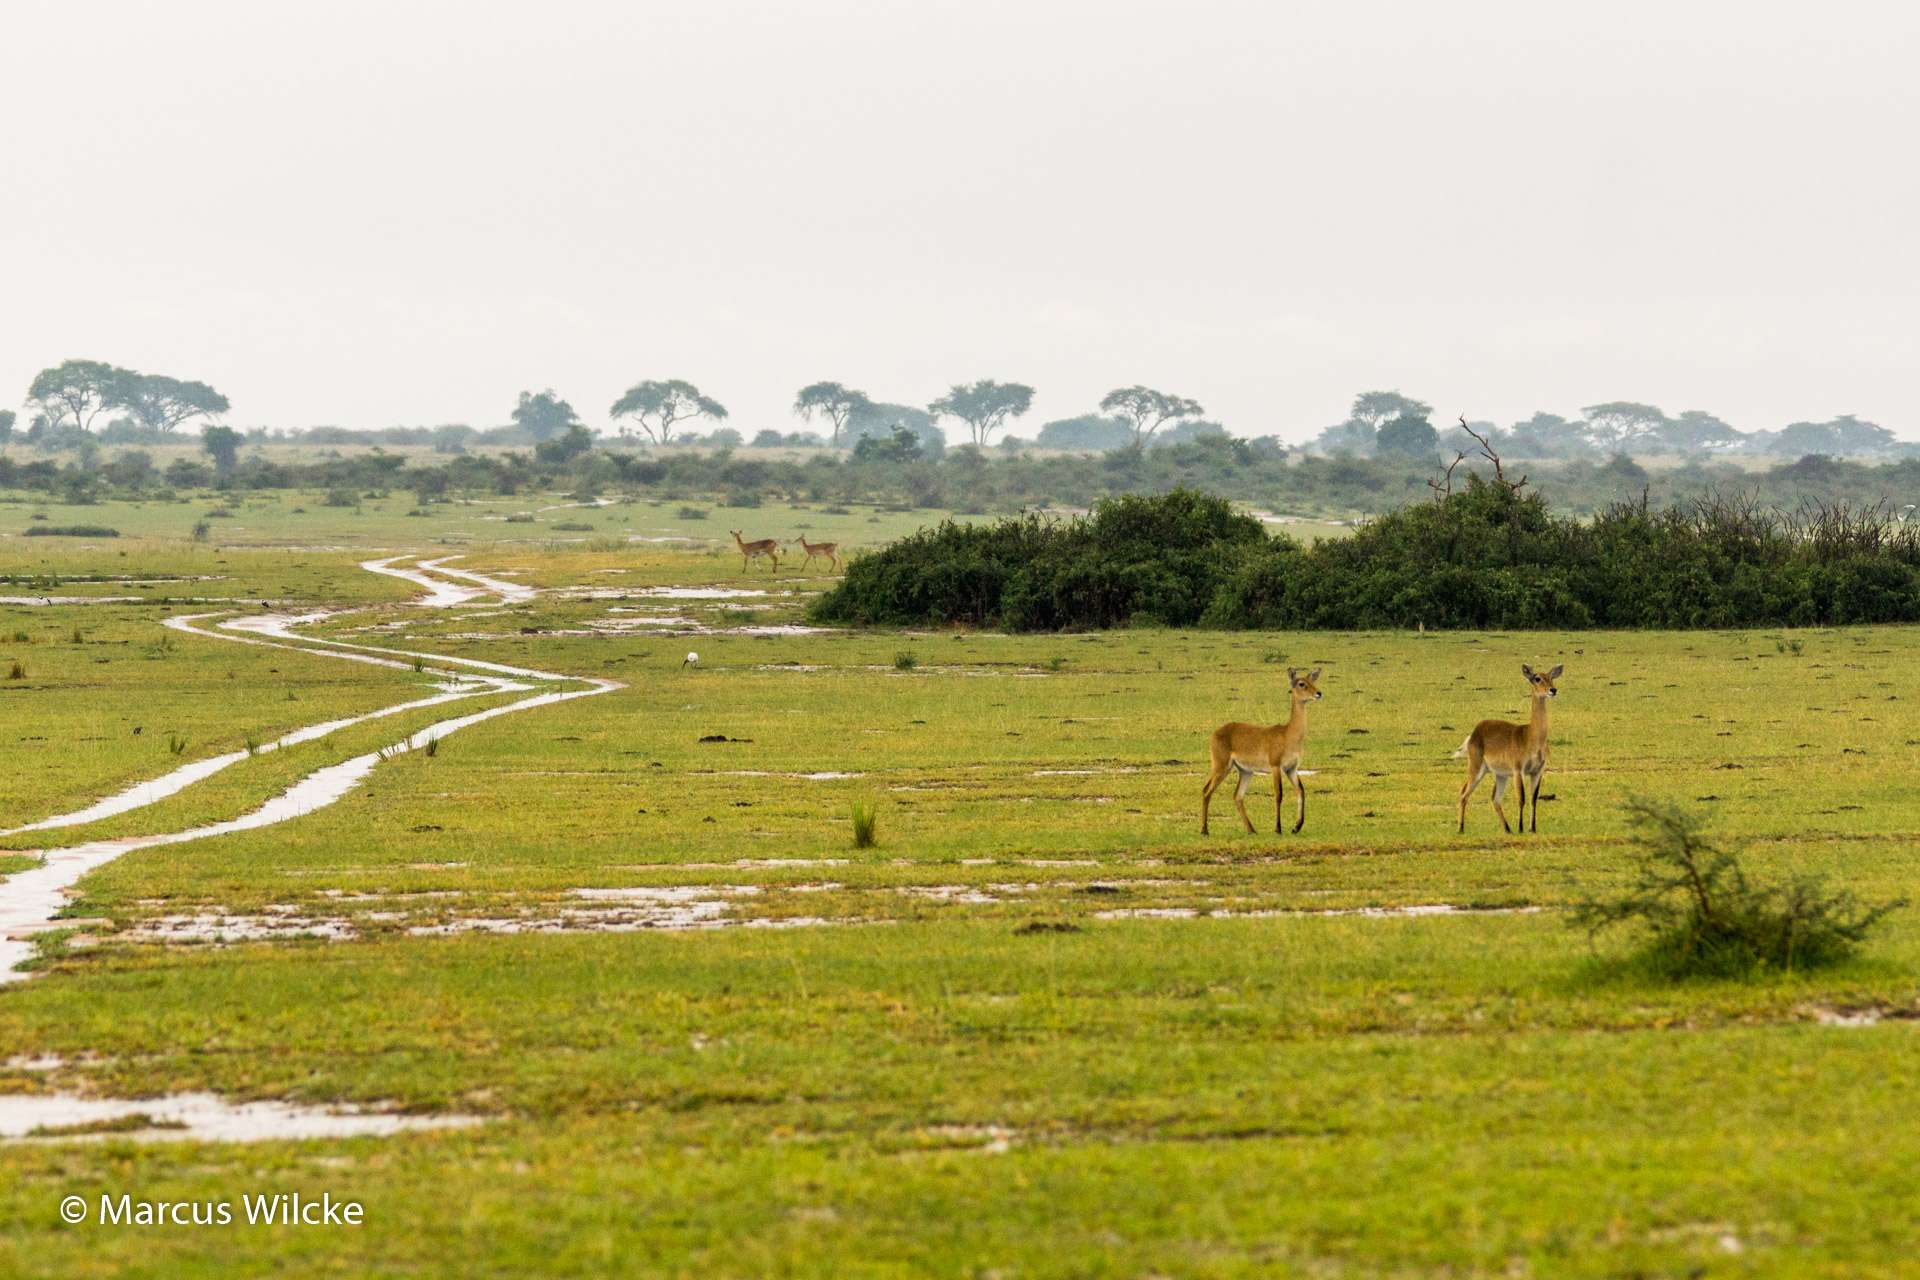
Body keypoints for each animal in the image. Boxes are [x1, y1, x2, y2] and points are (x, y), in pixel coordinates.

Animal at [1198, 671, 1320, 840]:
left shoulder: (1292, 769)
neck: (1288, 734)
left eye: (1312, 681)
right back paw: (1204, 831)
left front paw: (1296, 827)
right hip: (1221, 766)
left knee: (1237, 796)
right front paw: (1278, 828)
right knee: (1206, 790)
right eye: (1301, 683)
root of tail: (1216, 733)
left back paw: (1252, 830)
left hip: (1246, 771)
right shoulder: (1276, 767)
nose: (1318, 693)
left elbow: (1301, 791)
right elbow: (1278, 794)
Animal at [1451, 667, 1559, 836]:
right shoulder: (1518, 769)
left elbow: (1533, 798)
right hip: (1477, 768)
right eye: (1537, 678)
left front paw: (1532, 828)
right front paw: (1521, 828)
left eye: (1551, 677)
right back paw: (1460, 829)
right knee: (1464, 793)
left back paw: (1507, 829)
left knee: (1494, 798)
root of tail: (1474, 733)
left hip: (1501, 775)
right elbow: (1521, 798)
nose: (1552, 690)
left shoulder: (1538, 770)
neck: (1531, 736)